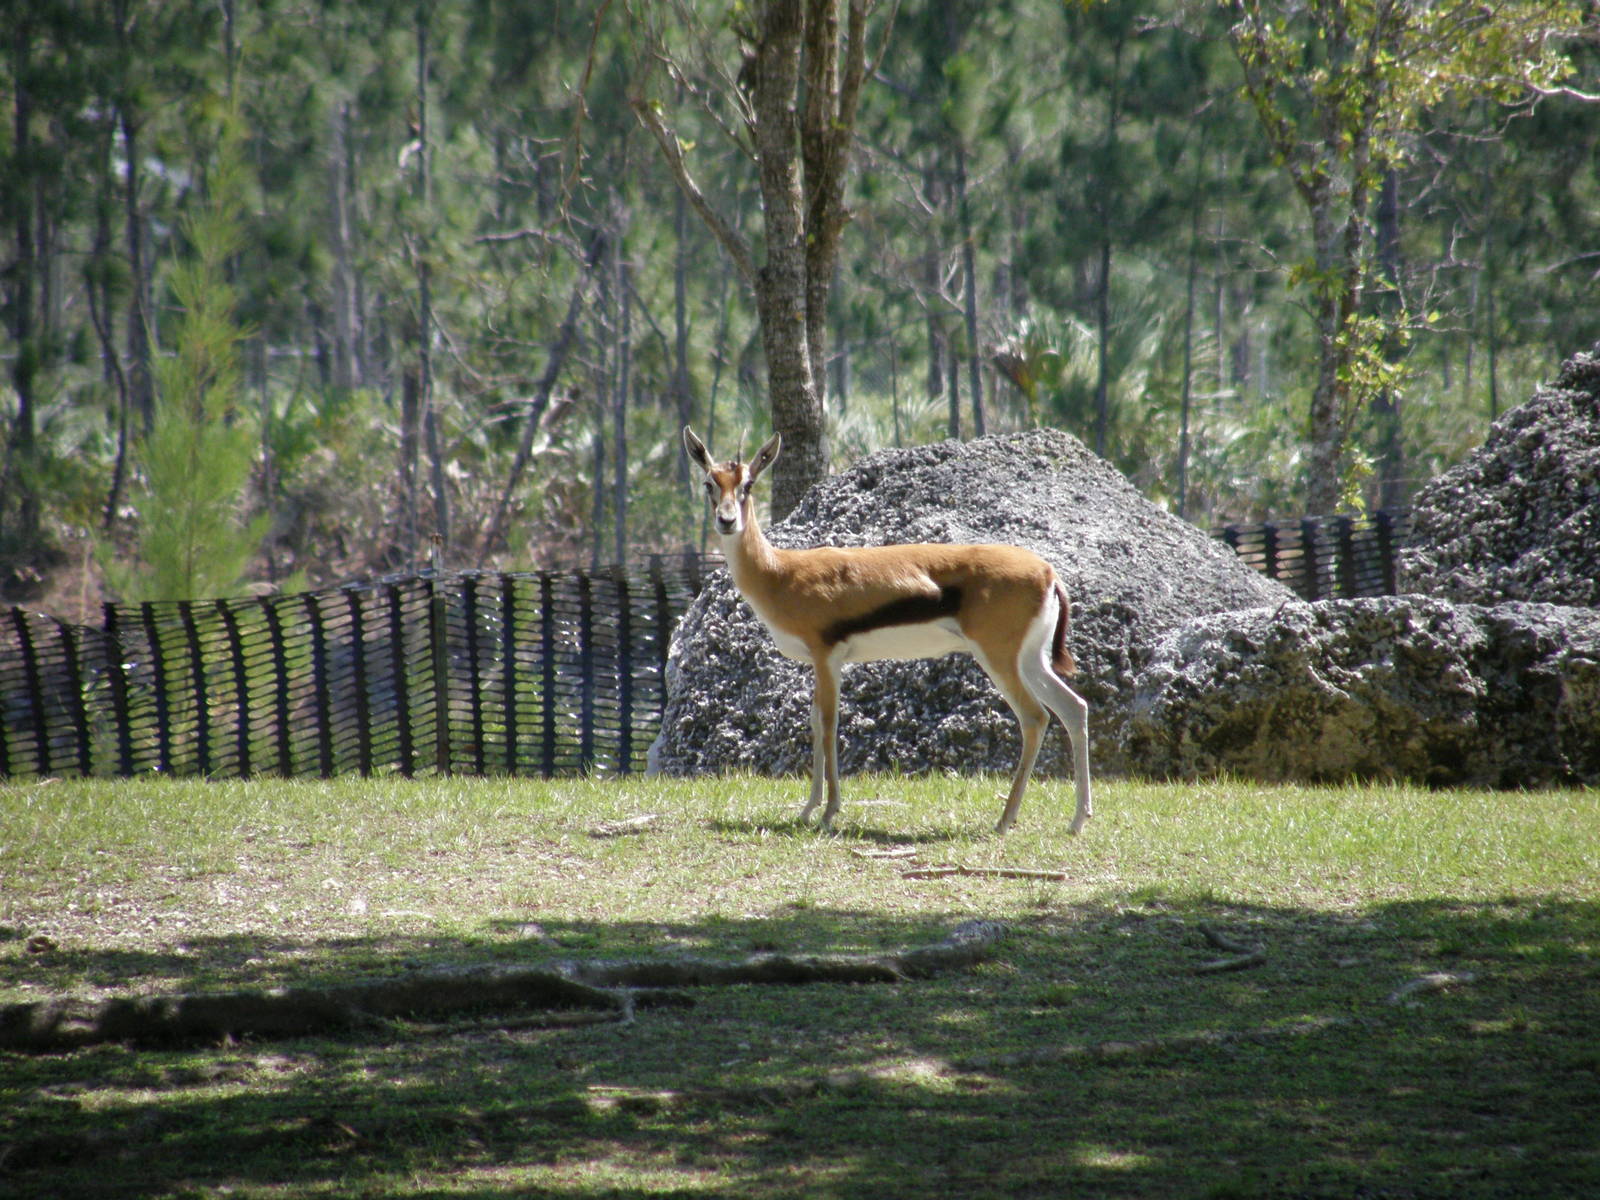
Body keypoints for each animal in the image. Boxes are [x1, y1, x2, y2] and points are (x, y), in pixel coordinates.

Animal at [683, 426, 1092, 835]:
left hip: (998, 658)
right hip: (1031, 660)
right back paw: (1077, 820)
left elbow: (828, 723)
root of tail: (1047, 572)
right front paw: (807, 810)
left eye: (748, 484)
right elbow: (814, 721)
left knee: (1034, 717)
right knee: (1073, 708)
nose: (726, 521)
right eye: (709, 483)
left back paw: (1005, 820)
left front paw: (829, 812)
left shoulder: (827, 657)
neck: (781, 573)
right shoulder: (821, 663)